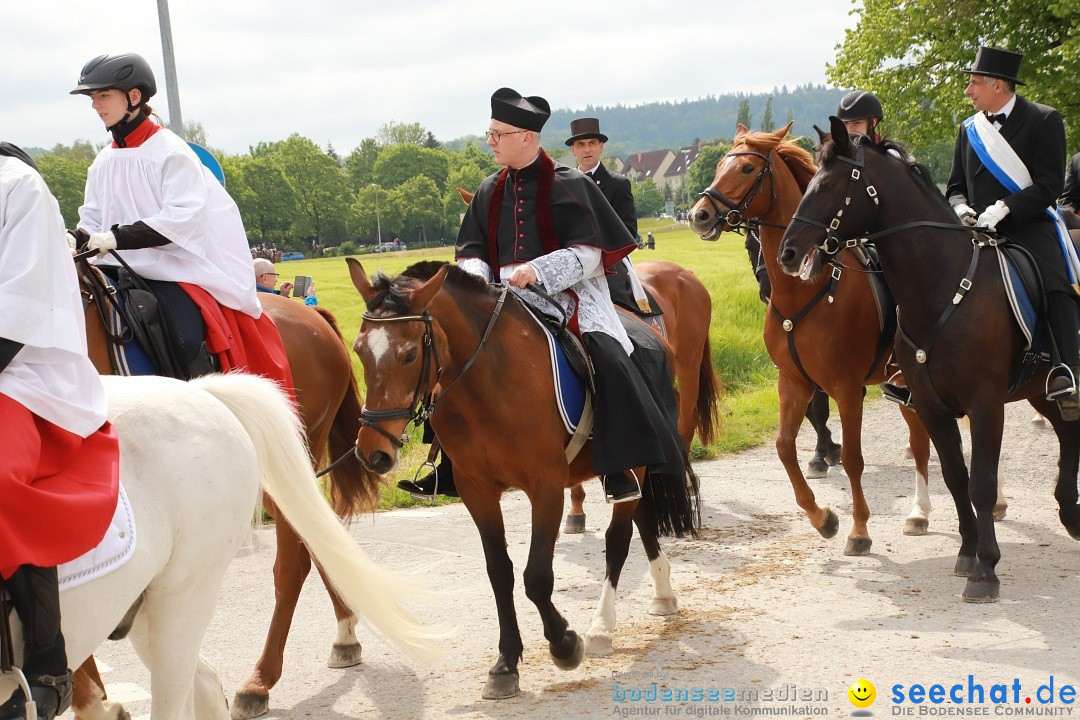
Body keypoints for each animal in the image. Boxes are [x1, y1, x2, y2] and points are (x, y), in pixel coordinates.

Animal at [345, 257, 699, 699]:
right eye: (359, 350)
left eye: (409, 355)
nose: (372, 452)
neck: (488, 381)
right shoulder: (476, 491)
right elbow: (500, 573)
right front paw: (506, 663)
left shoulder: (545, 485)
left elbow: (536, 577)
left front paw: (564, 643)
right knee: (641, 518)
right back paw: (663, 593)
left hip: (632, 459)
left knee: (618, 541)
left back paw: (601, 628)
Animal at [777, 119, 1080, 604]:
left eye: (827, 186)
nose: (787, 253)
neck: (943, 286)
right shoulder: (931, 404)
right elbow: (956, 476)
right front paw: (969, 553)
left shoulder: (984, 403)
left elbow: (981, 482)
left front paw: (987, 570)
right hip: (1040, 390)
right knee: (1069, 433)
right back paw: (1070, 514)